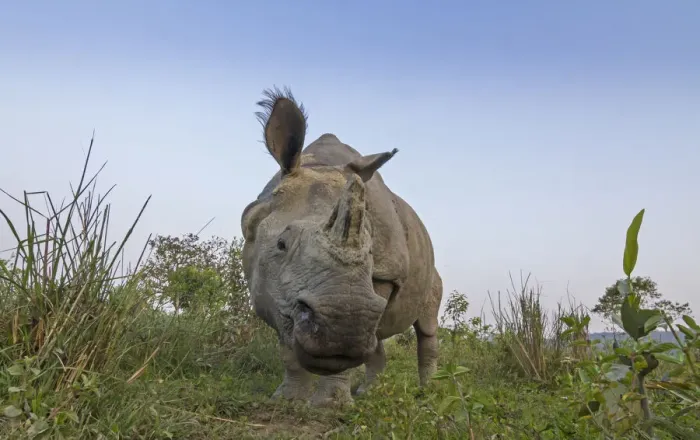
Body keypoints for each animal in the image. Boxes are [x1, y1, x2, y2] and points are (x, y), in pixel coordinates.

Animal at [240, 87, 443, 406]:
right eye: (281, 244)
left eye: (371, 253)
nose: (343, 323)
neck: (318, 166)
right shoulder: (269, 285)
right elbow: (287, 346)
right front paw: (287, 400)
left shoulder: (383, 274)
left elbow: (350, 353)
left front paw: (330, 406)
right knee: (377, 338)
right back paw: (367, 392)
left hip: (430, 274)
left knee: (425, 326)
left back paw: (428, 393)